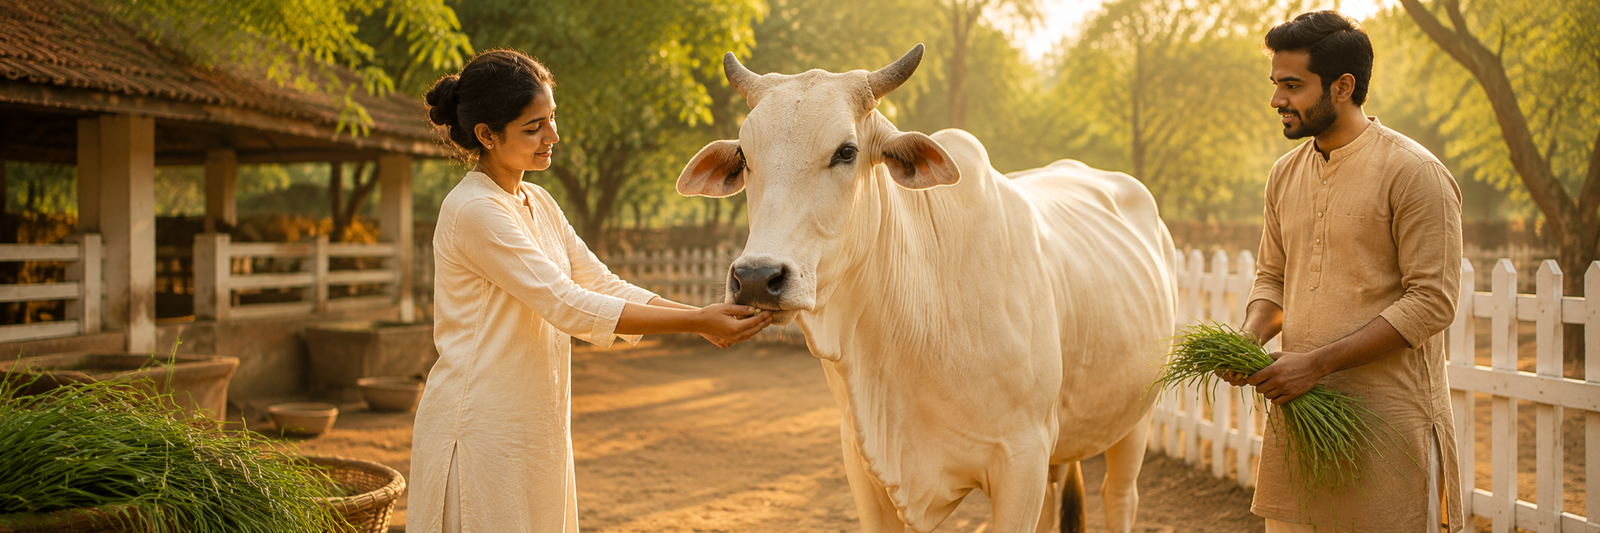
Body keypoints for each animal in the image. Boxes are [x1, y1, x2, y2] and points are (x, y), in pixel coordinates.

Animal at [676, 44, 1178, 533]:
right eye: (745, 157)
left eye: (846, 152)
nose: (757, 277)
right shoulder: (861, 460)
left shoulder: (1023, 458)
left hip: (1136, 417)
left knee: (1119, 497)